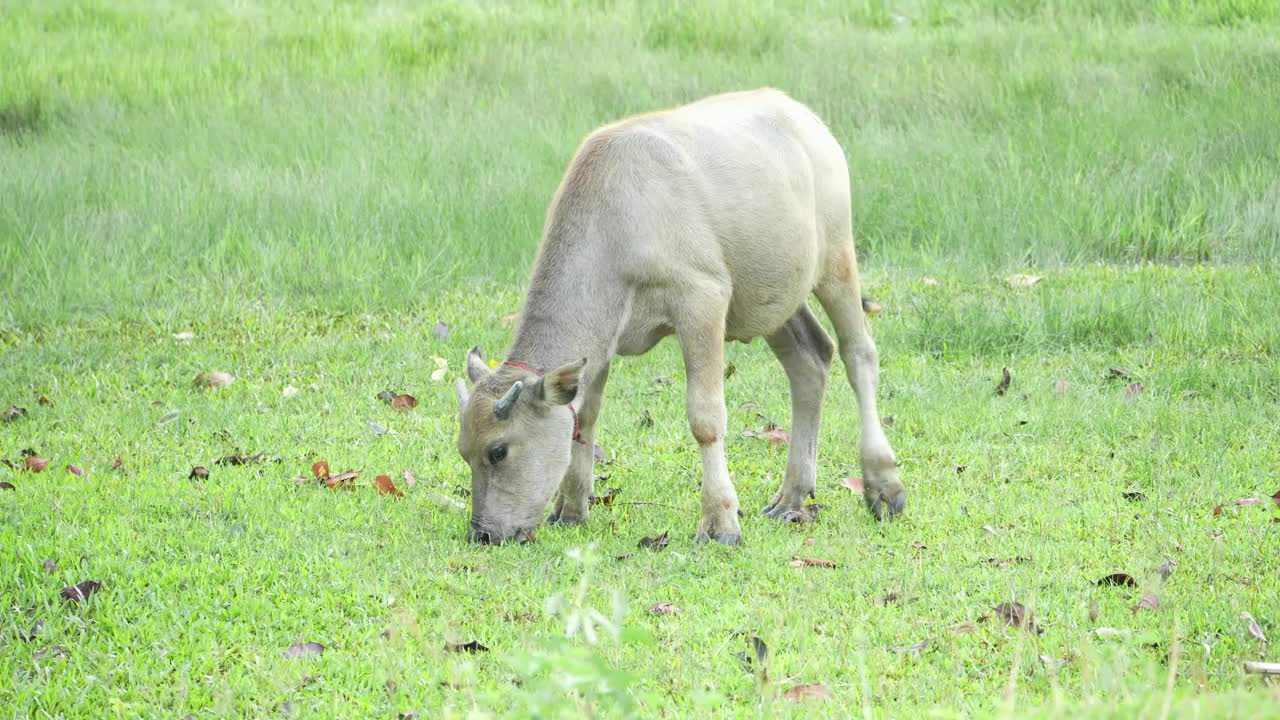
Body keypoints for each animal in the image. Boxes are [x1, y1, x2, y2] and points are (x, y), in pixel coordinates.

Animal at [455, 88, 906, 543]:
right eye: (464, 453)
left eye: (498, 451)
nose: (484, 533)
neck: (617, 222)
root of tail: (804, 117)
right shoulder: (602, 339)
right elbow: (587, 416)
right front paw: (570, 509)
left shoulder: (703, 300)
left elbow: (705, 416)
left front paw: (720, 521)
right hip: (775, 295)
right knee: (810, 360)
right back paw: (792, 496)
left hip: (836, 260)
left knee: (858, 353)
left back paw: (882, 484)